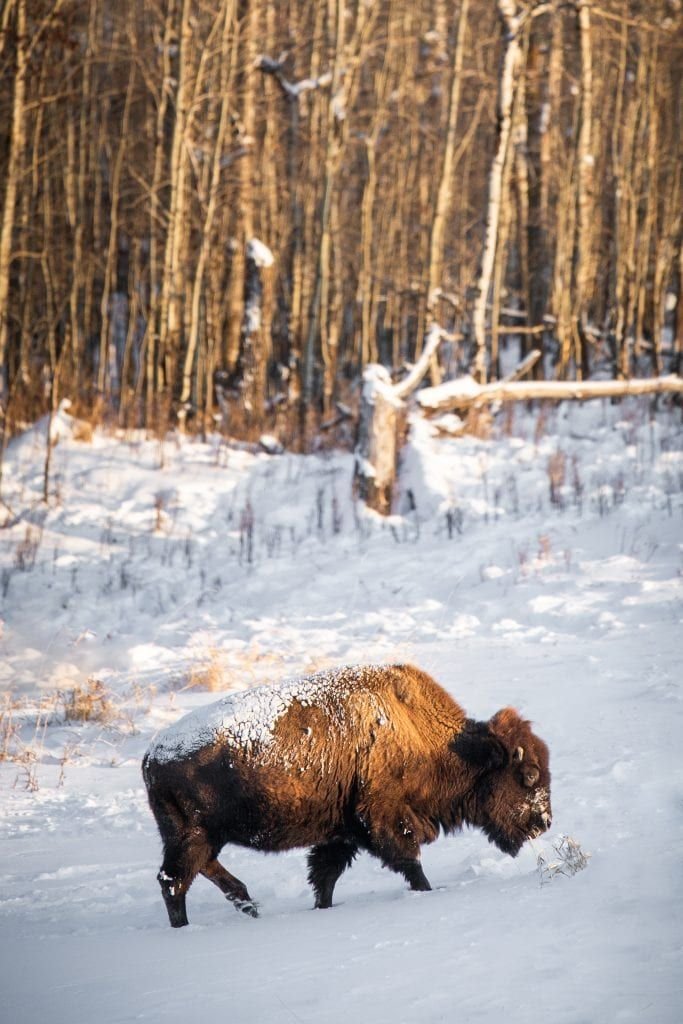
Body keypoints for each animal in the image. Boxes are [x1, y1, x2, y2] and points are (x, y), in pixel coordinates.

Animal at [142, 663, 551, 927]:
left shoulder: (341, 833)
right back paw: (190, 927)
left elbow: (325, 875)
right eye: (528, 775)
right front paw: (426, 891)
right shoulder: (383, 820)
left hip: (203, 837)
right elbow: (409, 861)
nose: (544, 823)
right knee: (174, 881)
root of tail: (150, 757)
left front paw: (322, 908)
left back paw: (250, 907)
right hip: (191, 836)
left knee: (200, 871)